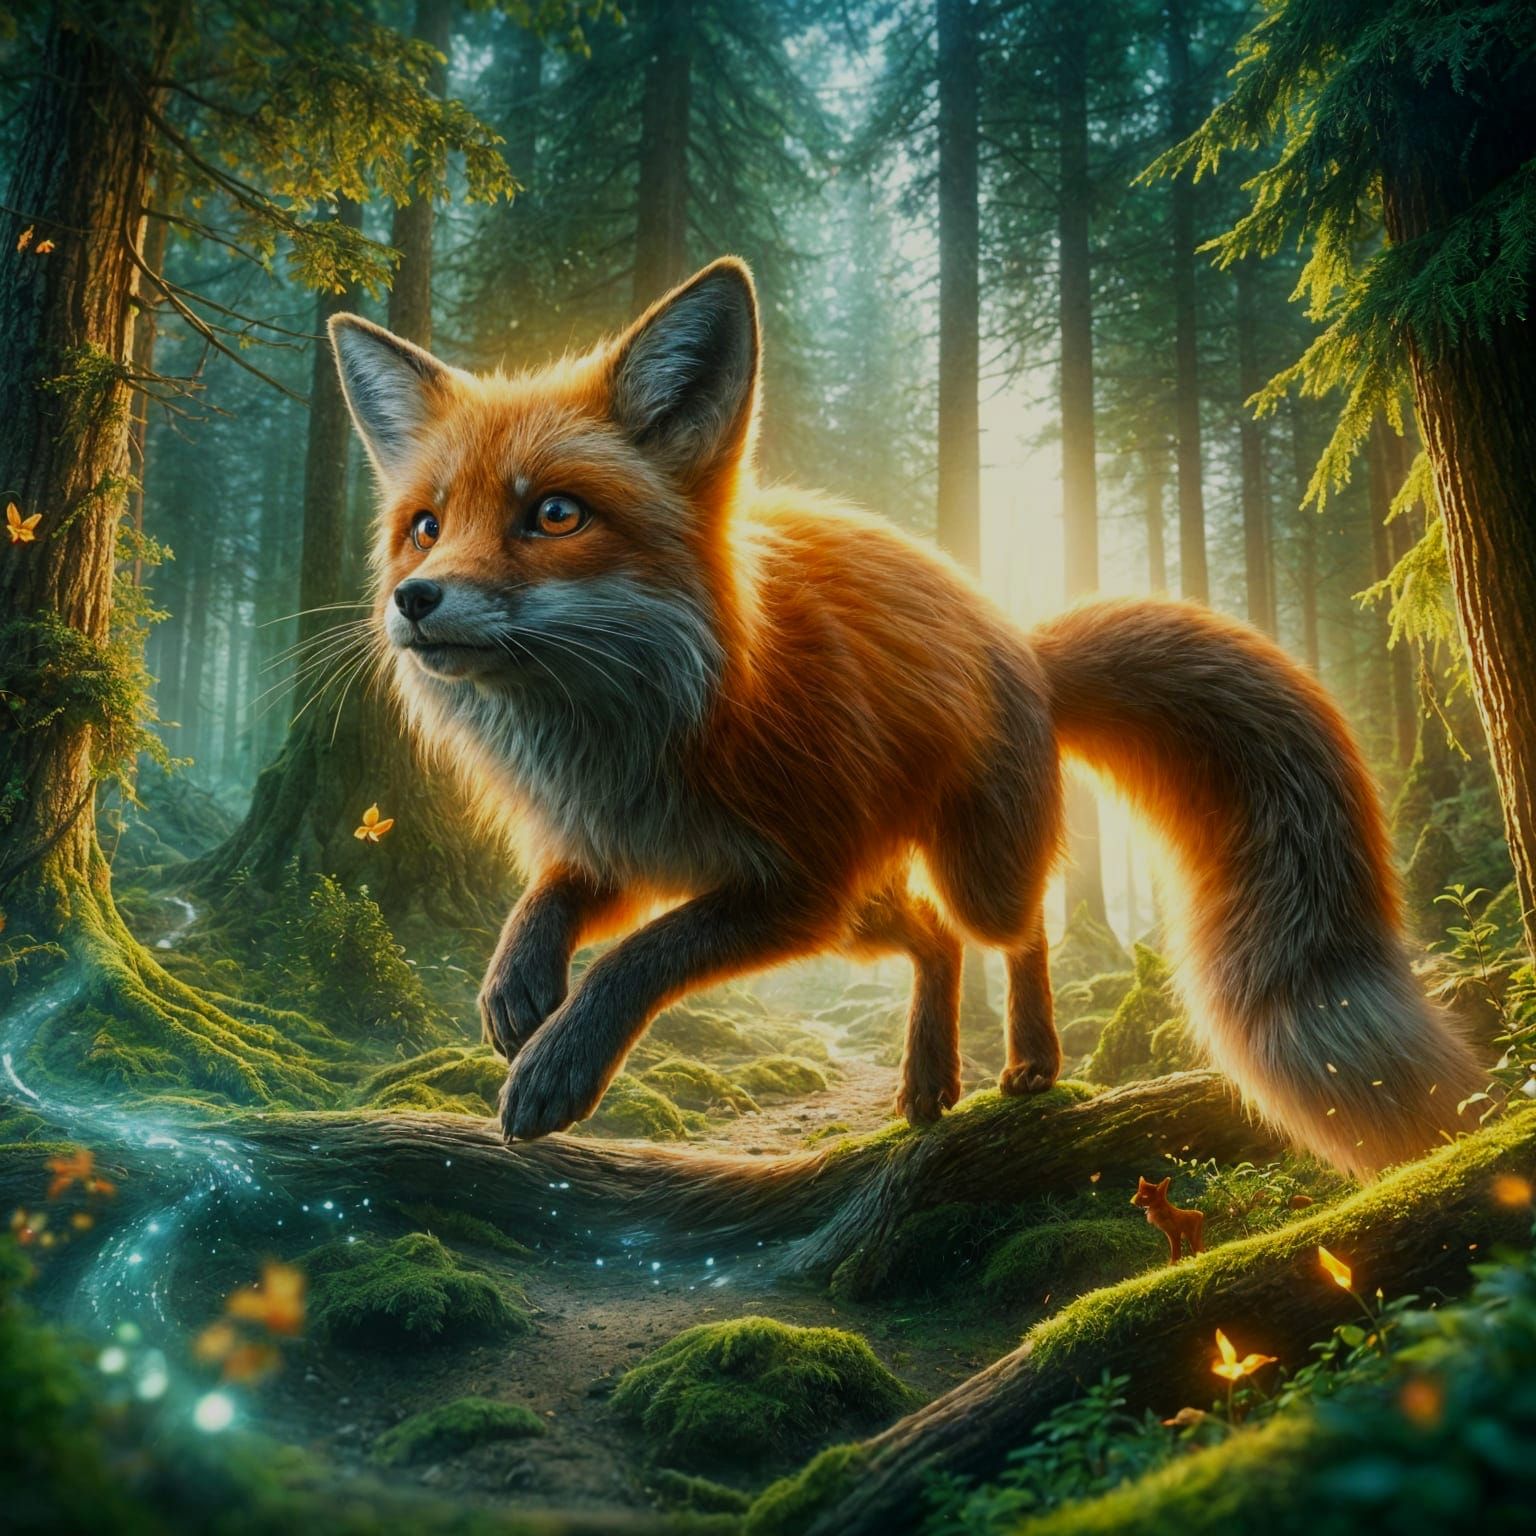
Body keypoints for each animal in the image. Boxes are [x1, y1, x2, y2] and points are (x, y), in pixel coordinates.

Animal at [328, 256, 1479, 1175]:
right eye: (425, 525)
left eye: (555, 514)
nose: (413, 600)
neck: (639, 730)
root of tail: (1020, 643)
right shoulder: (637, 849)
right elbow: (559, 897)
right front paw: (517, 982)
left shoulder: (792, 885)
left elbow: (642, 956)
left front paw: (560, 1062)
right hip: (868, 907)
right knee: (930, 939)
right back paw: (928, 1083)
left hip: (955, 875)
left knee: (1013, 930)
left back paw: (1030, 1062)